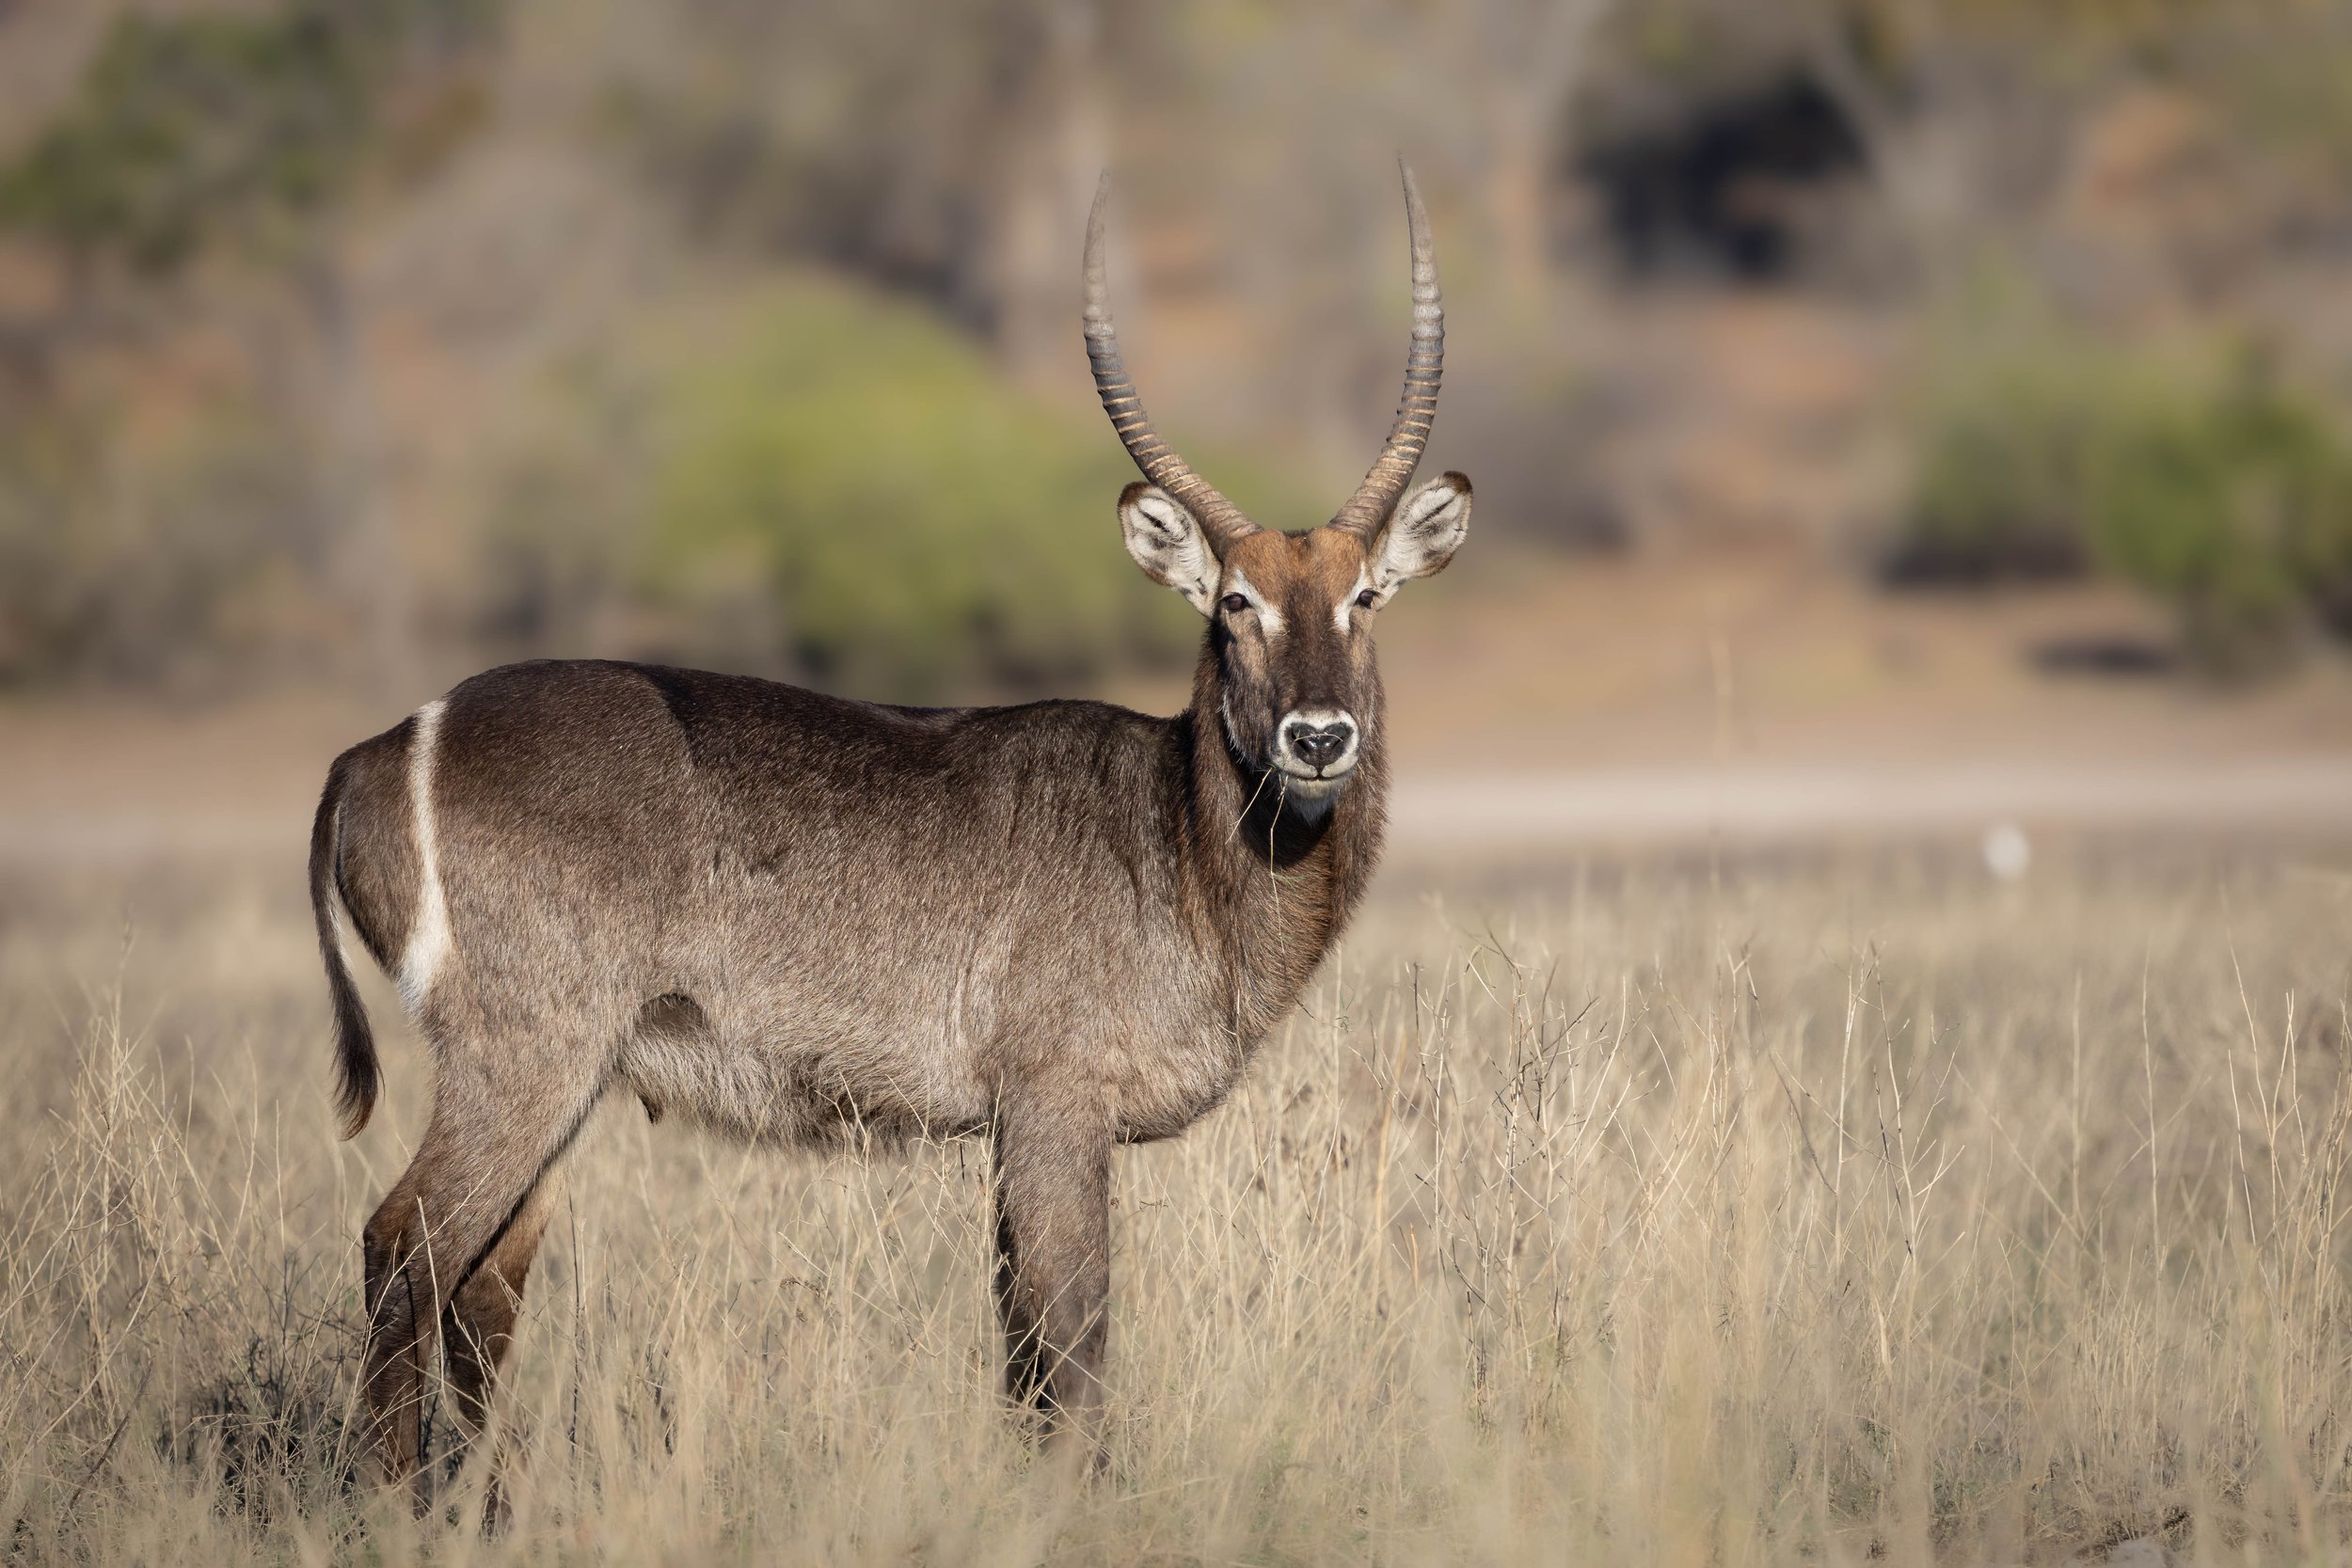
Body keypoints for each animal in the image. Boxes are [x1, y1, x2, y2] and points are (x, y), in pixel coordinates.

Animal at [308, 161, 1469, 1497]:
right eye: (1235, 605)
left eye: (1365, 595)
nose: (1318, 736)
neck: (1175, 838)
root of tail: (383, 742)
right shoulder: (1055, 1104)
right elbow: (1071, 1339)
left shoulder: (1014, 1130)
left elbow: (1020, 1348)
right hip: (526, 1051)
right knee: (403, 1247)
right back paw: (391, 1503)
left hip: (563, 1073)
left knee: (486, 1282)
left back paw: (487, 1504)